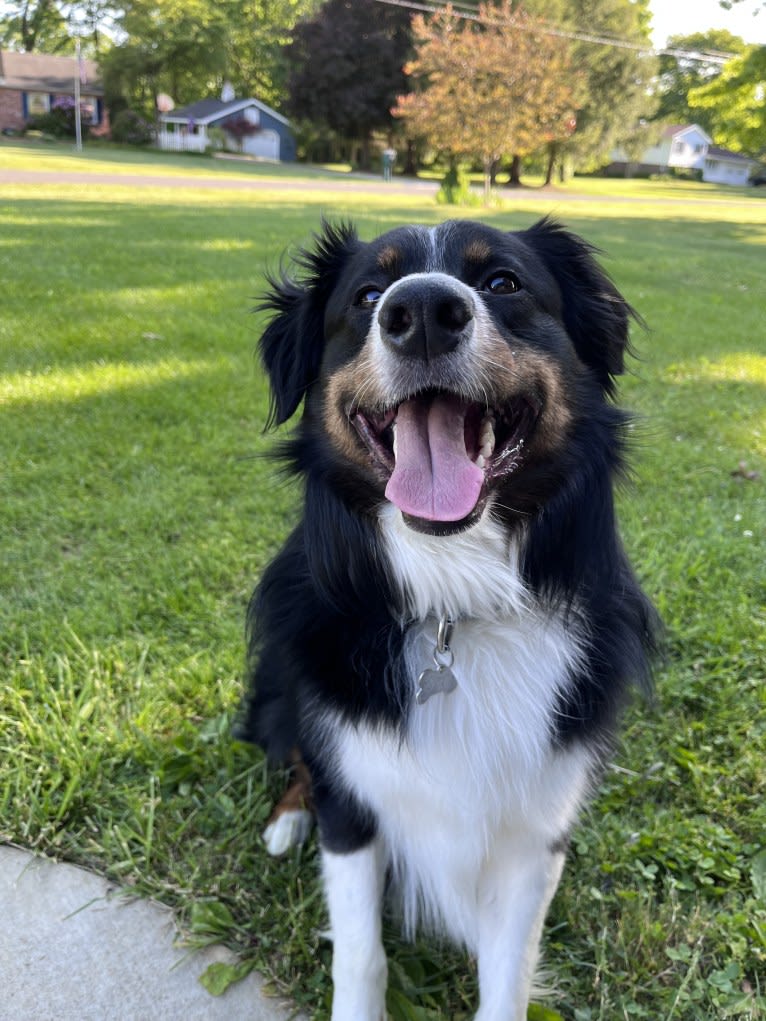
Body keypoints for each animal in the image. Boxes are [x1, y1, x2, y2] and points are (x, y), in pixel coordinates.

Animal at [236, 217, 657, 1021]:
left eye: (503, 282)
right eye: (368, 295)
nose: (424, 311)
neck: (452, 603)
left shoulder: (535, 830)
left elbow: (507, 975)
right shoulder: (355, 806)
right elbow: (361, 957)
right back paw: (287, 819)